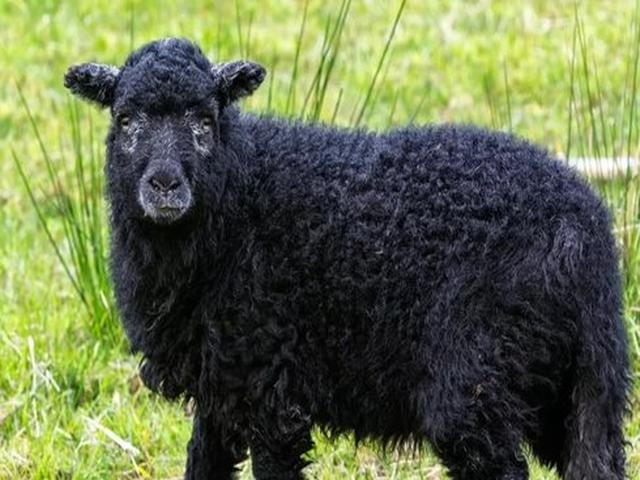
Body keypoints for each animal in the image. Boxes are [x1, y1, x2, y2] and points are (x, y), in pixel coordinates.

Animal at [64, 38, 629, 480]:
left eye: (206, 121)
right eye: (125, 119)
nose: (164, 186)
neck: (239, 195)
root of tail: (589, 227)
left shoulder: (270, 382)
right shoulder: (222, 381)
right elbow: (203, 463)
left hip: (481, 377)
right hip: (571, 387)